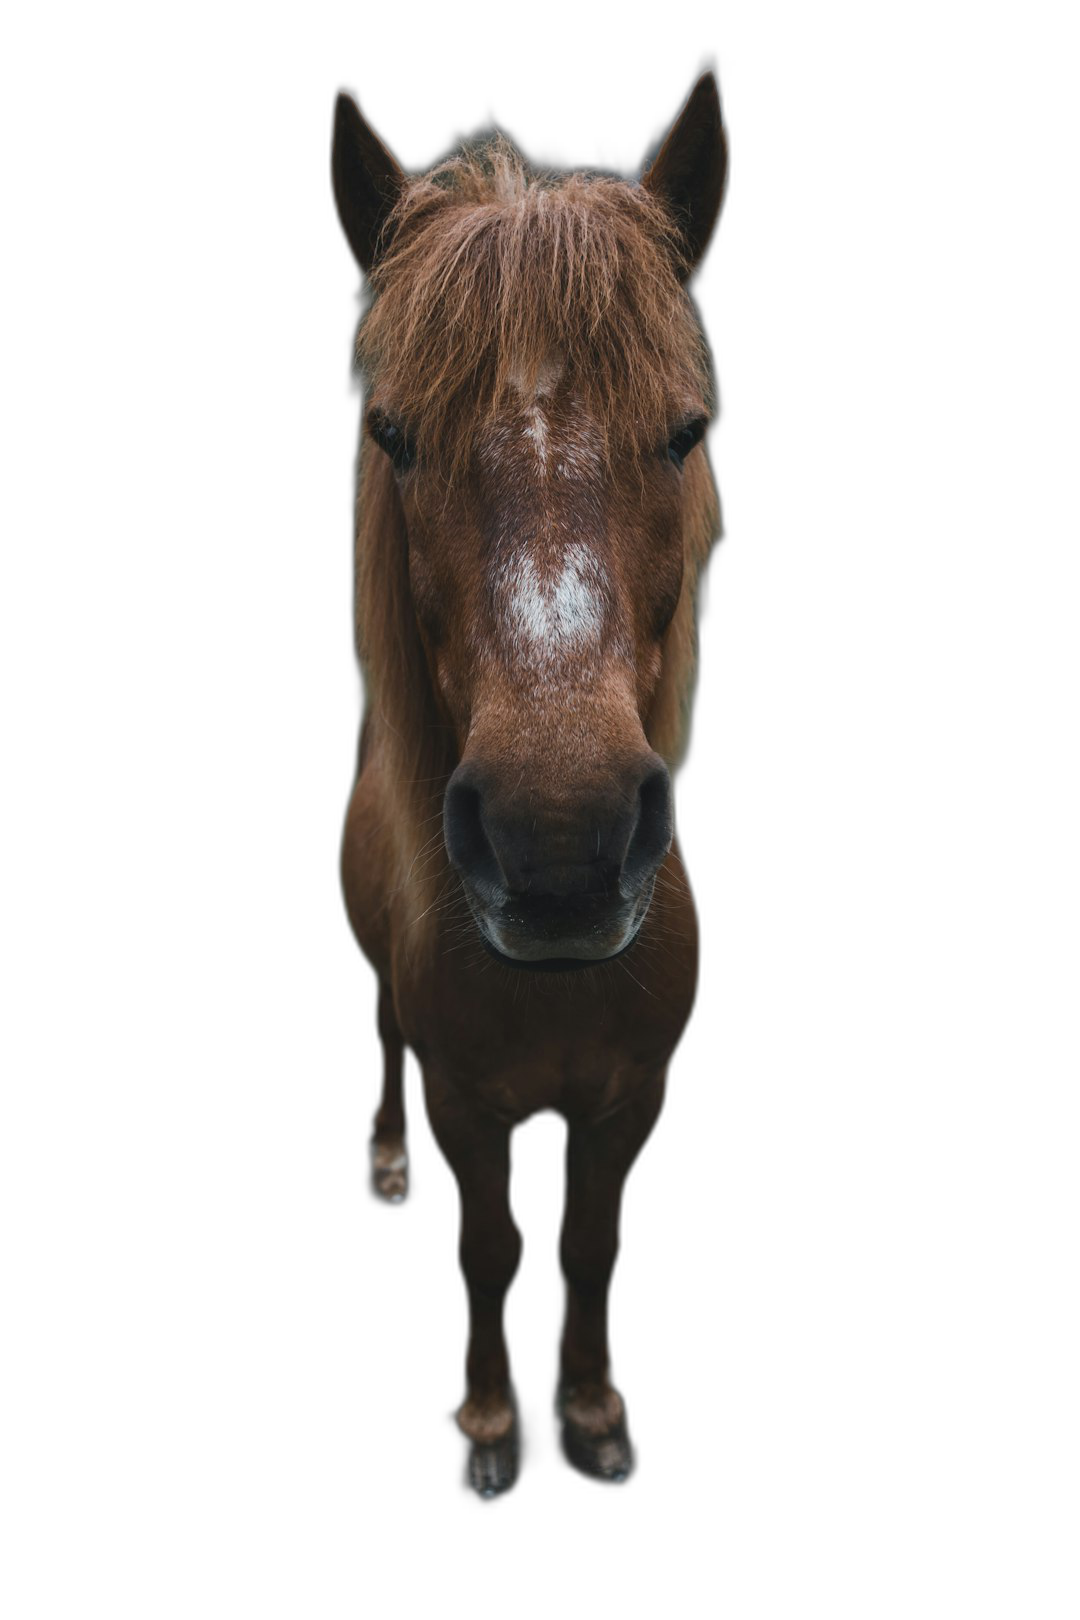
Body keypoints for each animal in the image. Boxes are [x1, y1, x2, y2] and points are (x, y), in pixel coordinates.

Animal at [333, 72, 731, 1490]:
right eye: (394, 436)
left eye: (685, 431)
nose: (559, 840)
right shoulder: (468, 1105)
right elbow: (494, 1247)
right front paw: (498, 1426)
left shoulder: (631, 1105)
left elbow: (589, 1247)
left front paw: (594, 1417)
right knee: (382, 1044)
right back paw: (383, 1161)